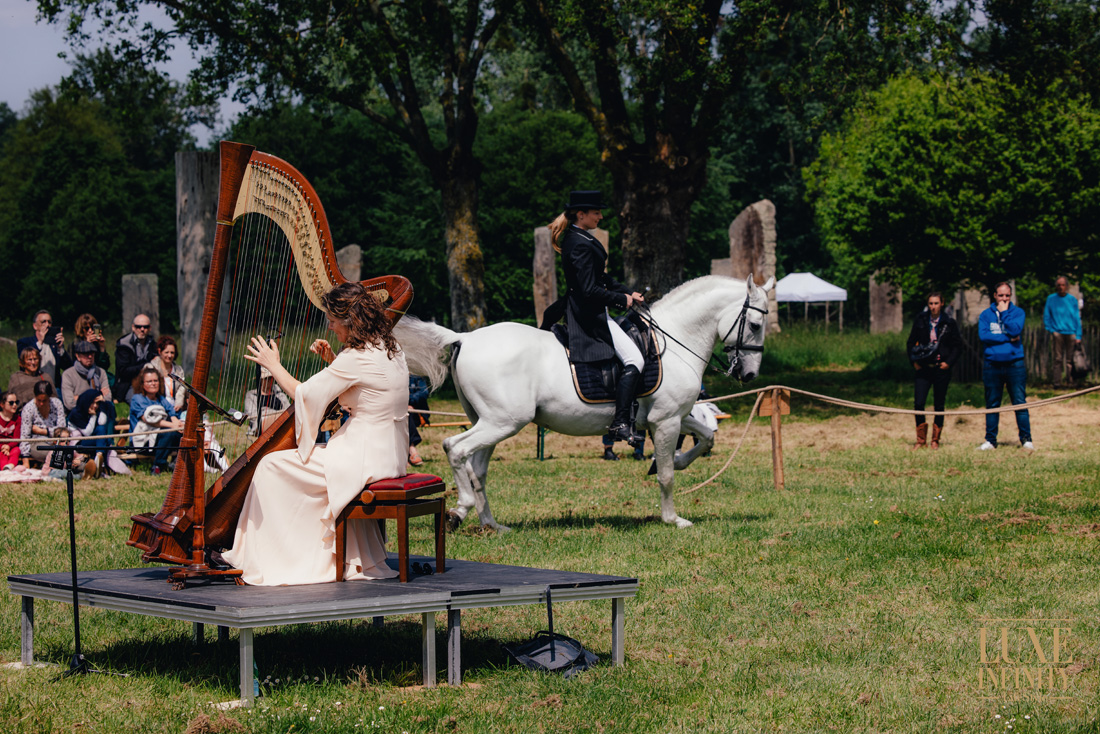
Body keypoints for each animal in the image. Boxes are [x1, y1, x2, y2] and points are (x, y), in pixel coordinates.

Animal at [396, 272, 774, 530]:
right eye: (756, 324)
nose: (749, 375)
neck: (676, 340)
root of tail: (465, 337)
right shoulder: (666, 421)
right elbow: (667, 474)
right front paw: (673, 518)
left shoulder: (673, 416)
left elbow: (707, 437)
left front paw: (676, 462)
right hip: (502, 422)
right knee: (455, 448)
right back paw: (460, 509)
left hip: (489, 423)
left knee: (477, 469)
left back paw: (491, 524)